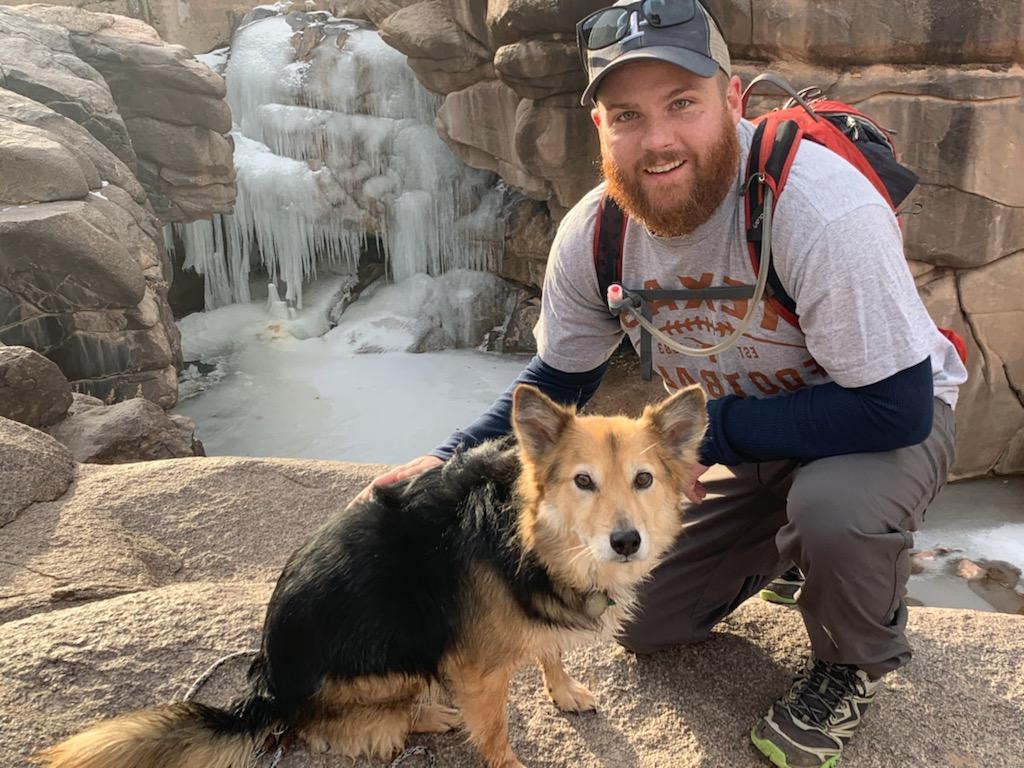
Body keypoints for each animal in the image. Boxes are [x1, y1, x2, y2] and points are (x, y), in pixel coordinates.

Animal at [41, 385, 712, 768]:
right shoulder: (478, 669)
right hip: (396, 662)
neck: (527, 537)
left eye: (644, 479)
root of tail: (266, 691)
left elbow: (549, 650)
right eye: (582, 481)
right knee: (351, 727)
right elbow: (495, 735)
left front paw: (565, 689)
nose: (626, 542)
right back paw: (429, 715)